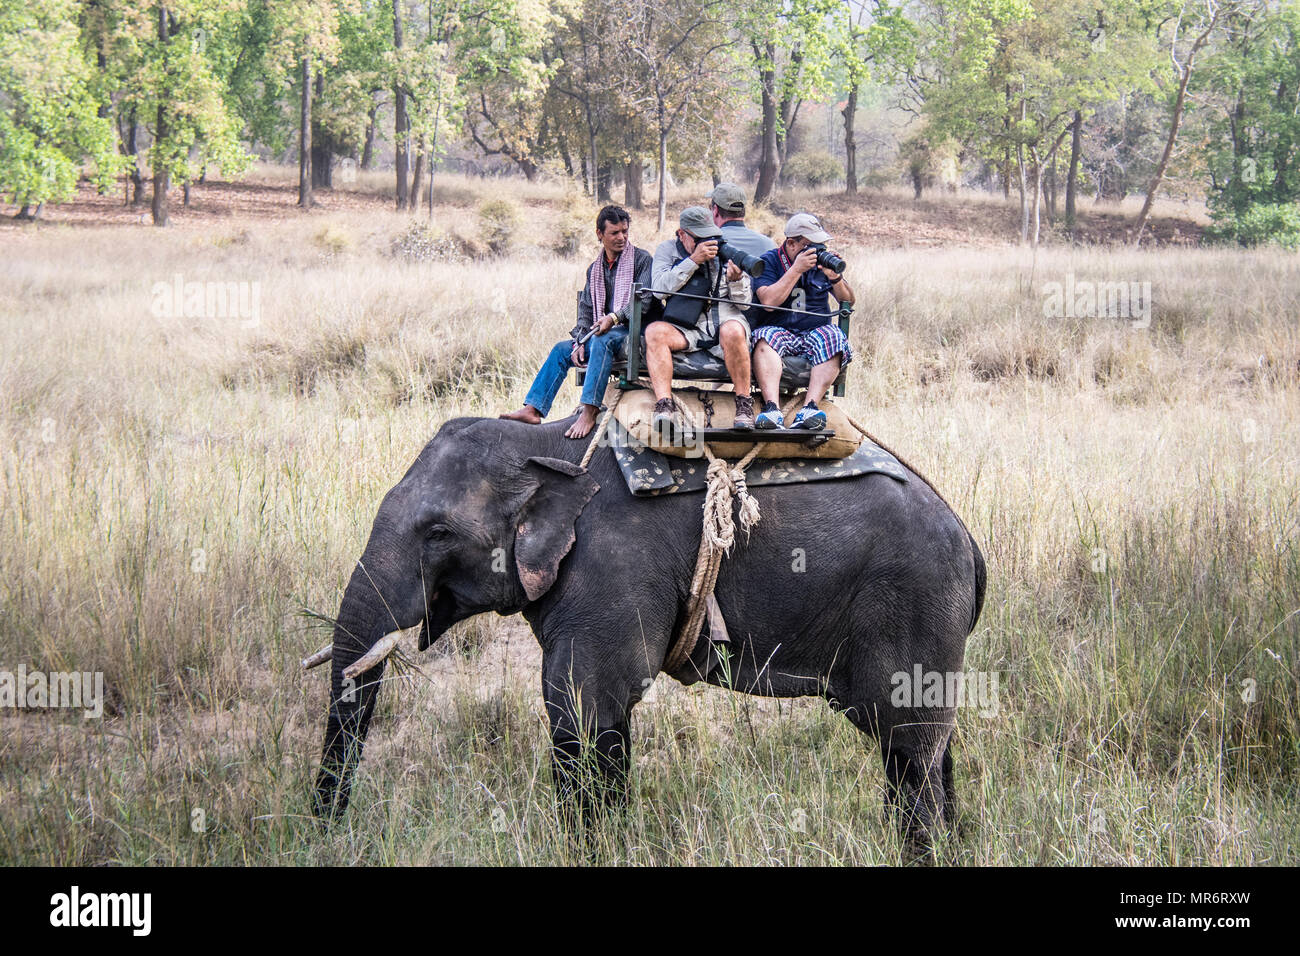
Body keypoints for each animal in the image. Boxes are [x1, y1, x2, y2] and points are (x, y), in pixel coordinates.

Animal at [312, 416, 982, 848]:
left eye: (437, 533)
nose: (323, 834)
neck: (545, 445)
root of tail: (971, 546)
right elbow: (601, 716)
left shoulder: (614, 565)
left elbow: (580, 705)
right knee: (924, 749)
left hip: (915, 601)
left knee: (910, 751)